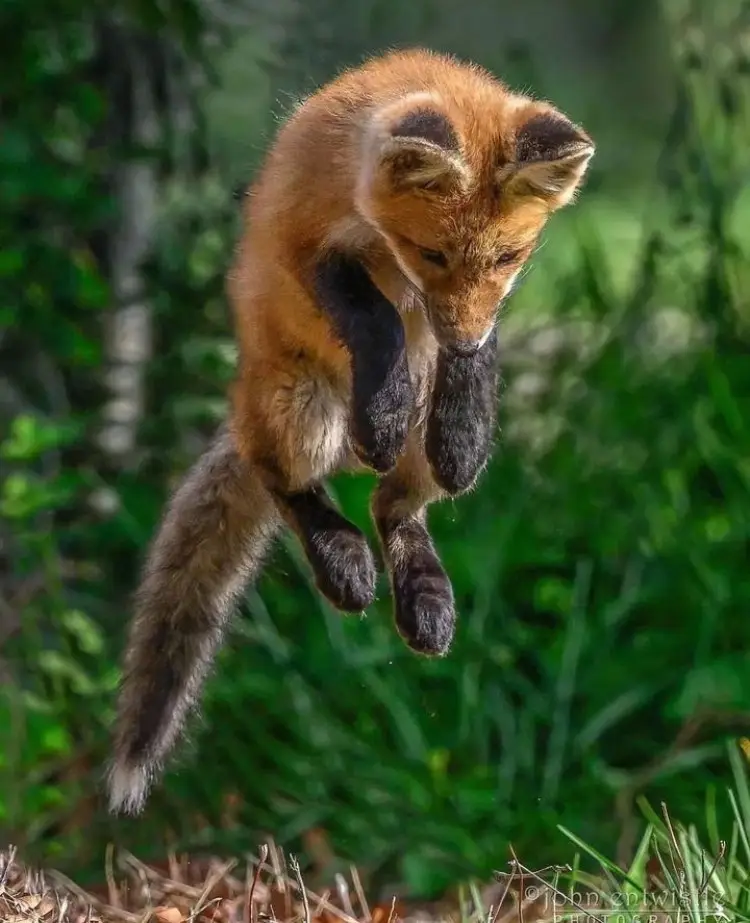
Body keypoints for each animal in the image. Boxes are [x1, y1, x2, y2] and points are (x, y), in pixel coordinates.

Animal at [107, 47, 595, 814]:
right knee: (288, 484)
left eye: (506, 259)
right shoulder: (307, 245)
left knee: (395, 506)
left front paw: (460, 415)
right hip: (299, 409)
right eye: (433, 254)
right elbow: (376, 315)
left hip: (398, 450)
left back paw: (423, 591)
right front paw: (384, 404)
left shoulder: (473, 319)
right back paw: (341, 557)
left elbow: (468, 362)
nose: (460, 336)